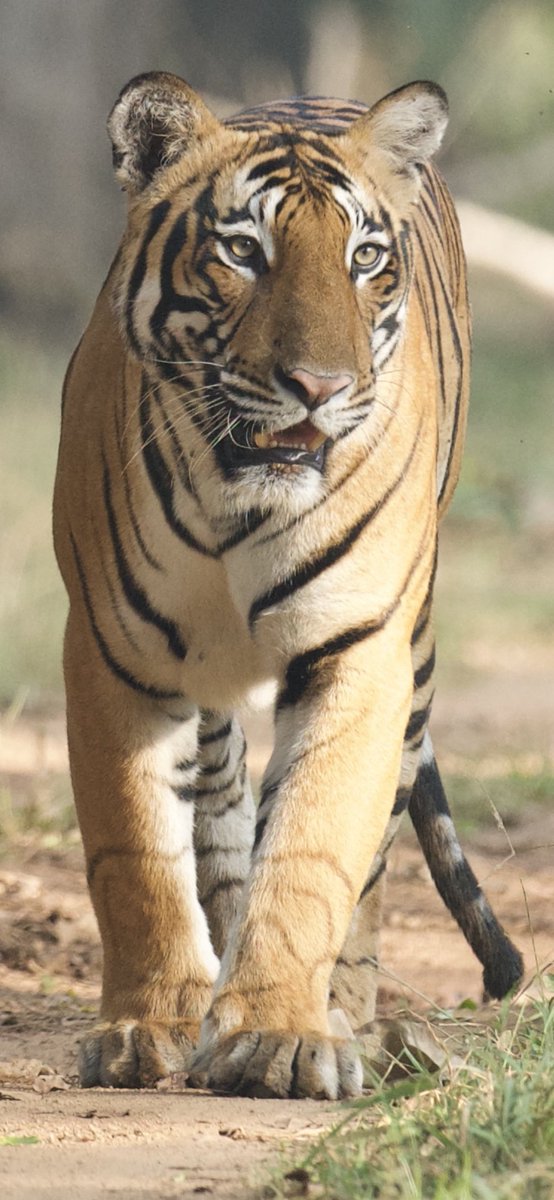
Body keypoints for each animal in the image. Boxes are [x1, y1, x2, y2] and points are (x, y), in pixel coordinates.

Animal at [53, 71, 523, 1100]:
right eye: (242, 252)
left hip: (414, 664)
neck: (240, 502)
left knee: (366, 861)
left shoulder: (361, 652)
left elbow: (313, 847)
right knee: (218, 818)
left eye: (364, 259)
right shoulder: (113, 654)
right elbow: (137, 854)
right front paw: (150, 1025)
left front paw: (279, 1035)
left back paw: (353, 1021)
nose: (319, 386)